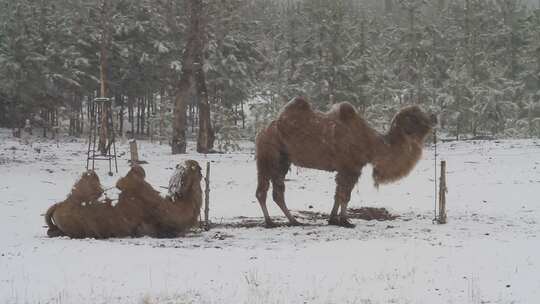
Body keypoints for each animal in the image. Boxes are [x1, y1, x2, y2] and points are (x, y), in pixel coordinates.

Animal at [255, 96, 436, 227]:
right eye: (415, 117)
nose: (433, 119)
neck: (372, 143)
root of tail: (262, 131)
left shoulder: (344, 169)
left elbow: (337, 194)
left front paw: (333, 219)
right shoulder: (351, 167)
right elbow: (345, 196)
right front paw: (345, 221)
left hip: (283, 160)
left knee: (277, 192)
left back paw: (294, 221)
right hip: (268, 156)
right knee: (262, 191)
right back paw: (270, 222)